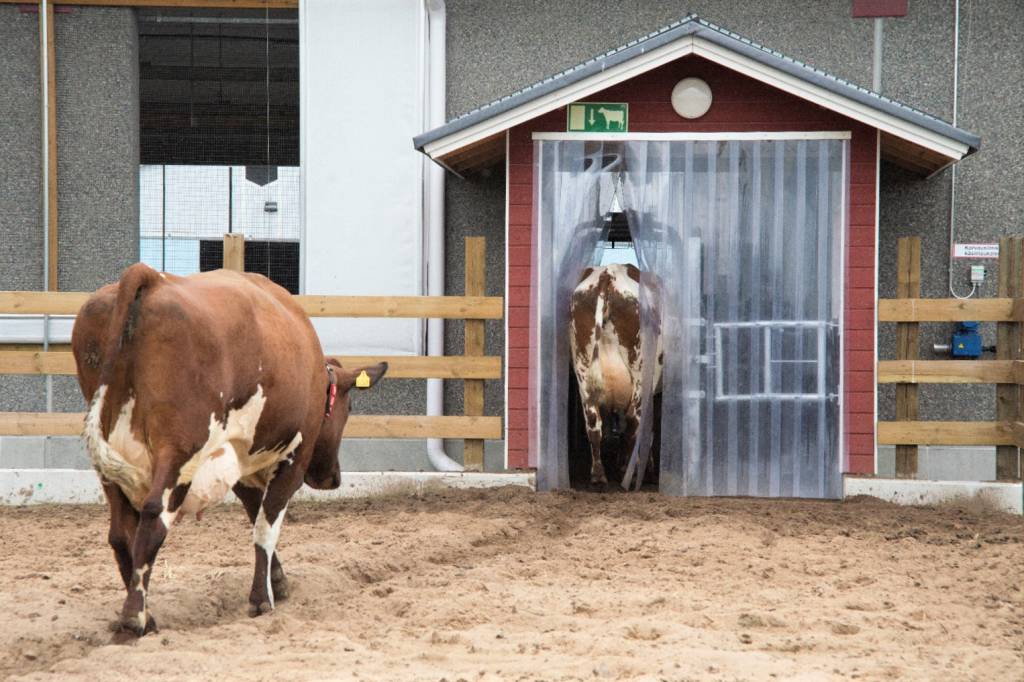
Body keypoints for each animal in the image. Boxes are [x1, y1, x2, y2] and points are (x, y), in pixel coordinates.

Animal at [70, 262, 385, 638]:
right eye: (348, 409)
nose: (333, 478)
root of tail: (149, 276)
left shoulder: (241, 460)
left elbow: (254, 511)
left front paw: (277, 579)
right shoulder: (293, 459)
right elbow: (266, 524)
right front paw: (262, 598)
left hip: (109, 462)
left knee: (121, 534)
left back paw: (145, 615)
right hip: (180, 450)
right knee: (153, 519)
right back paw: (135, 618)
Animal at [569, 261, 663, 489]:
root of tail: (608, 273)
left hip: (583, 368)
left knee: (593, 421)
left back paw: (598, 475)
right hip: (642, 372)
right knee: (634, 421)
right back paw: (630, 474)